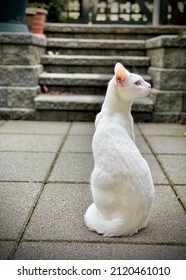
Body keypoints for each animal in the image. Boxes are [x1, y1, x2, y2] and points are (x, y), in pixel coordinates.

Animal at [84, 63, 154, 236]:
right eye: (138, 82)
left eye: (143, 80)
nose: (150, 86)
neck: (114, 112)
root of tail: (131, 219)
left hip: (95, 180)